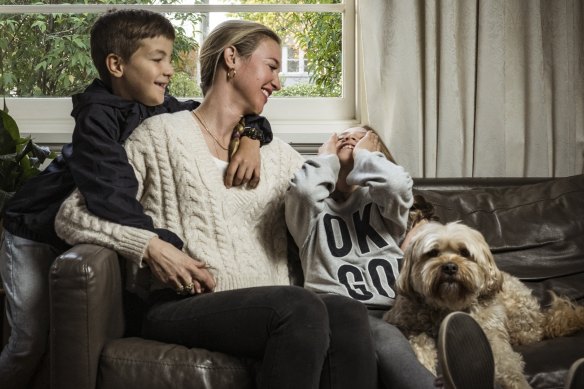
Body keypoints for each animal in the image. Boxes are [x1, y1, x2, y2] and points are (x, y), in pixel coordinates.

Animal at [384, 221, 584, 388]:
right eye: (432, 253)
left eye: (464, 252)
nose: (449, 267)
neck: (449, 305)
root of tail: (543, 319)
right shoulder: (413, 328)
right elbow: (420, 349)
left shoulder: (493, 334)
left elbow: (507, 363)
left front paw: (518, 383)